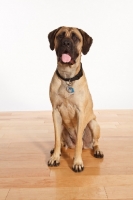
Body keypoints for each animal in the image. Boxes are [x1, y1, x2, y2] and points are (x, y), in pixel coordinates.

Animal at [47, 26, 103, 172]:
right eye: (60, 36)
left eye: (75, 37)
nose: (66, 43)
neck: (68, 78)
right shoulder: (55, 112)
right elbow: (56, 138)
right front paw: (55, 157)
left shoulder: (80, 113)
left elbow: (79, 142)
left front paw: (77, 162)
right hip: (63, 127)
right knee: (62, 142)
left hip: (94, 124)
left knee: (94, 142)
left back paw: (97, 150)